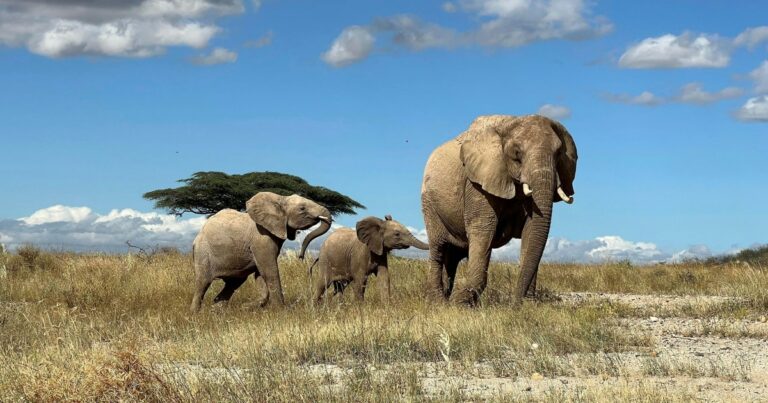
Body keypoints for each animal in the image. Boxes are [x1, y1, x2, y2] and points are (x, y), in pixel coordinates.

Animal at [190, 192, 332, 312]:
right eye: (302, 208)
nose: (300, 256)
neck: (281, 198)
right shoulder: (261, 237)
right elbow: (269, 270)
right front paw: (281, 310)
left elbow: (261, 273)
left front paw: (249, 307)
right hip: (203, 251)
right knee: (202, 282)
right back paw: (195, 314)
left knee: (233, 283)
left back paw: (216, 311)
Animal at [420, 114, 577, 306]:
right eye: (517, 153)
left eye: (559, 154)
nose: (515, 304)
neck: (510, 123)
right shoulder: (477, 183)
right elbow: (483, 229)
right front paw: (461, 304)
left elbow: (531, 231)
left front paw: (528, 304)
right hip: (429, 203)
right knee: (438, 248)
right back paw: (438, 302)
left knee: (453, 256)